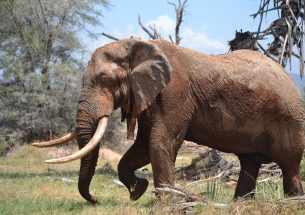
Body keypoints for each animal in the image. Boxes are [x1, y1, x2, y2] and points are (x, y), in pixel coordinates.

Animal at [32, 37, 302, 204]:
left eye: (105, 80)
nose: (96, 200)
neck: (134, 45)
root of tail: (290, 78)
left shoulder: (174, 92)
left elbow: (160, 143)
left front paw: (160, 205)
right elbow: (142, 147)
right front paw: (138, 191)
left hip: (288, 117)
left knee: (289, 166)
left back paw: (293, 202)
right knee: (249, 163)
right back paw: (240, 204)